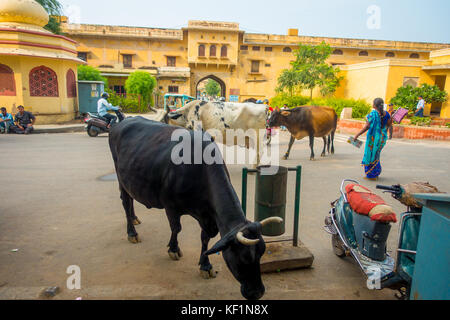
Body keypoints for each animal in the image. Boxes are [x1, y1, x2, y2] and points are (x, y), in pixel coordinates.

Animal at [108, 117, 282, 300]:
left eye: (261, 253)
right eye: (243, 258)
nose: (258, 292)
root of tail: (123, 121)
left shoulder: (208, 216)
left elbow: (205, 238)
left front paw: (205, 265)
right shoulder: (171, 206)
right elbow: (176, 228)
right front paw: (173, 249)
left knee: (130, 201)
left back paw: (135, 218)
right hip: (120, 177)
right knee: (126, 203)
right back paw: (132, 232)